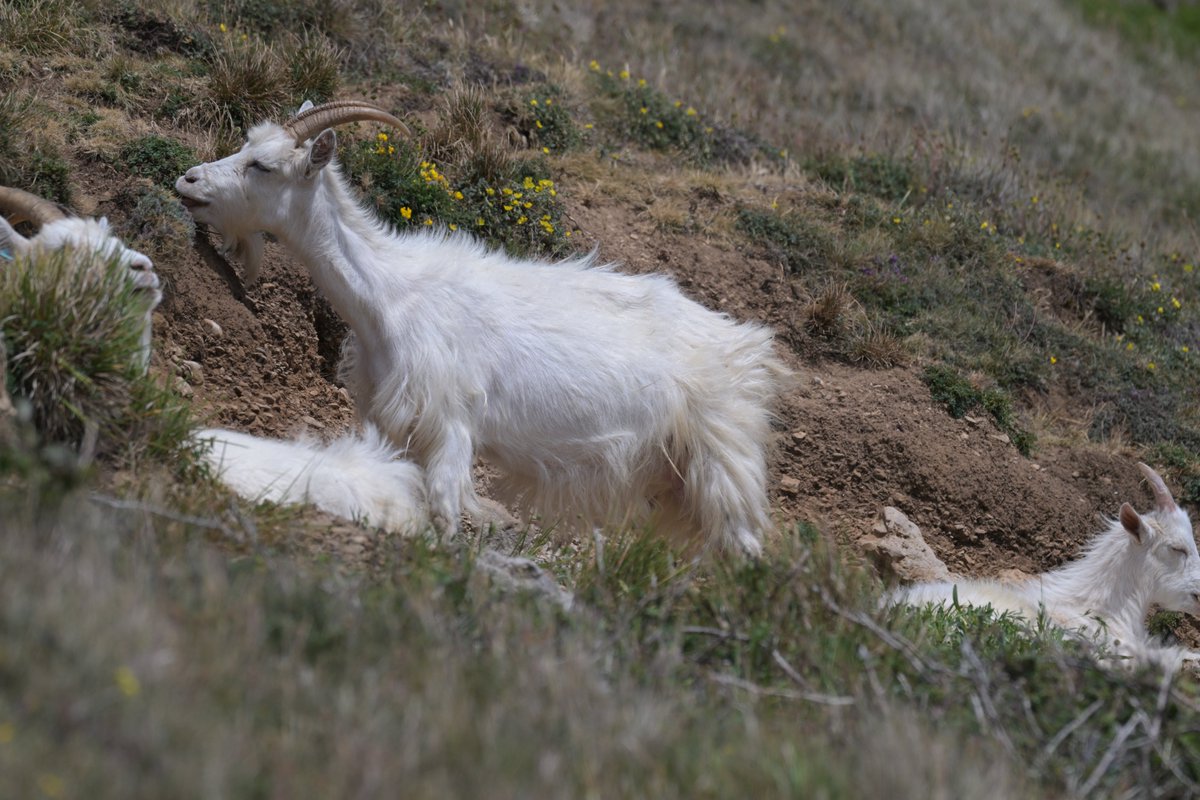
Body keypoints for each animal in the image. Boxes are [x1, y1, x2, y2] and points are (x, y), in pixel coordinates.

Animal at [175, 100, 789, 556]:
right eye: (244, 147)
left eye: (263, 165)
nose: (188, 180)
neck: (390, 294)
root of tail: (745, 345)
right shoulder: (393, 419)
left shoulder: (449, 422)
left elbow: (445, 511)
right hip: (676, 476)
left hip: (723, 457)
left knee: (744, 546)